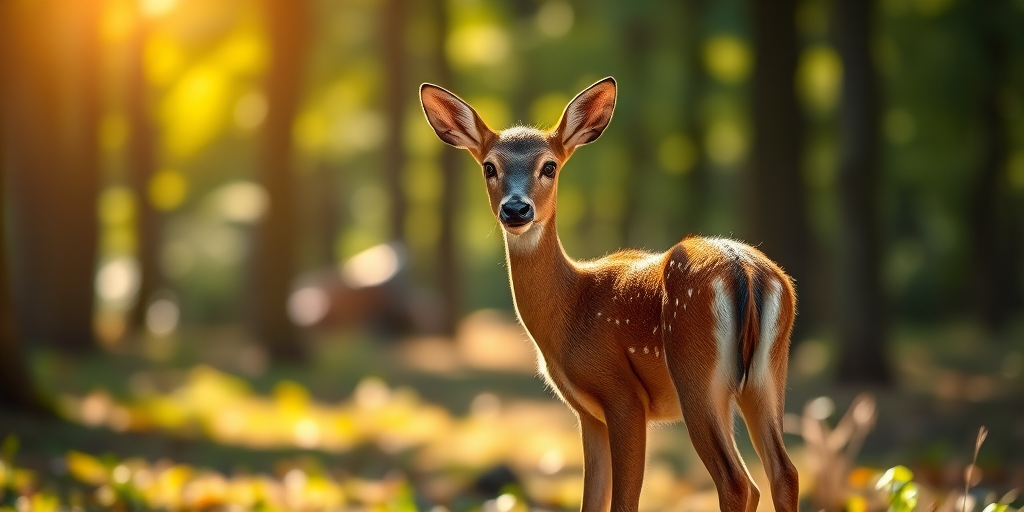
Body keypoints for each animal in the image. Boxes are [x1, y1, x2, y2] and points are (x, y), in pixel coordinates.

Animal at [420, 77, 799, 512]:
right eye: (489, 167)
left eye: (549, 166)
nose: (516, 209)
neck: (570, 311)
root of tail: (745, 270)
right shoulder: (588, 414)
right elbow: (592, 499)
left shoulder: (622, 394)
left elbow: (623, 501)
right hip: (766, 375)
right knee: (782, 473)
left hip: (696, 372)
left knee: (737, 482)